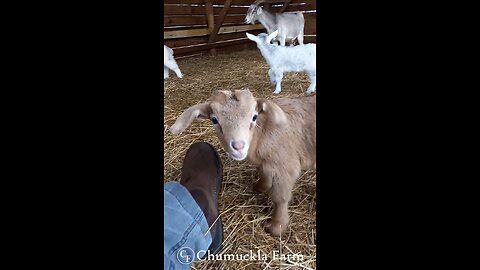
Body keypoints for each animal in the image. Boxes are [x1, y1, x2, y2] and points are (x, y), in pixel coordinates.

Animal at [169, 89, 316, 235]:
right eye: (214, 119)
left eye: (254, 117)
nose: (238, 146)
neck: (260, 133)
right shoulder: (267, 164)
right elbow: (263, 173)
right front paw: (260, 187)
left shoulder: (285, 166)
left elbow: (280, 198)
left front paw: (277, 226)